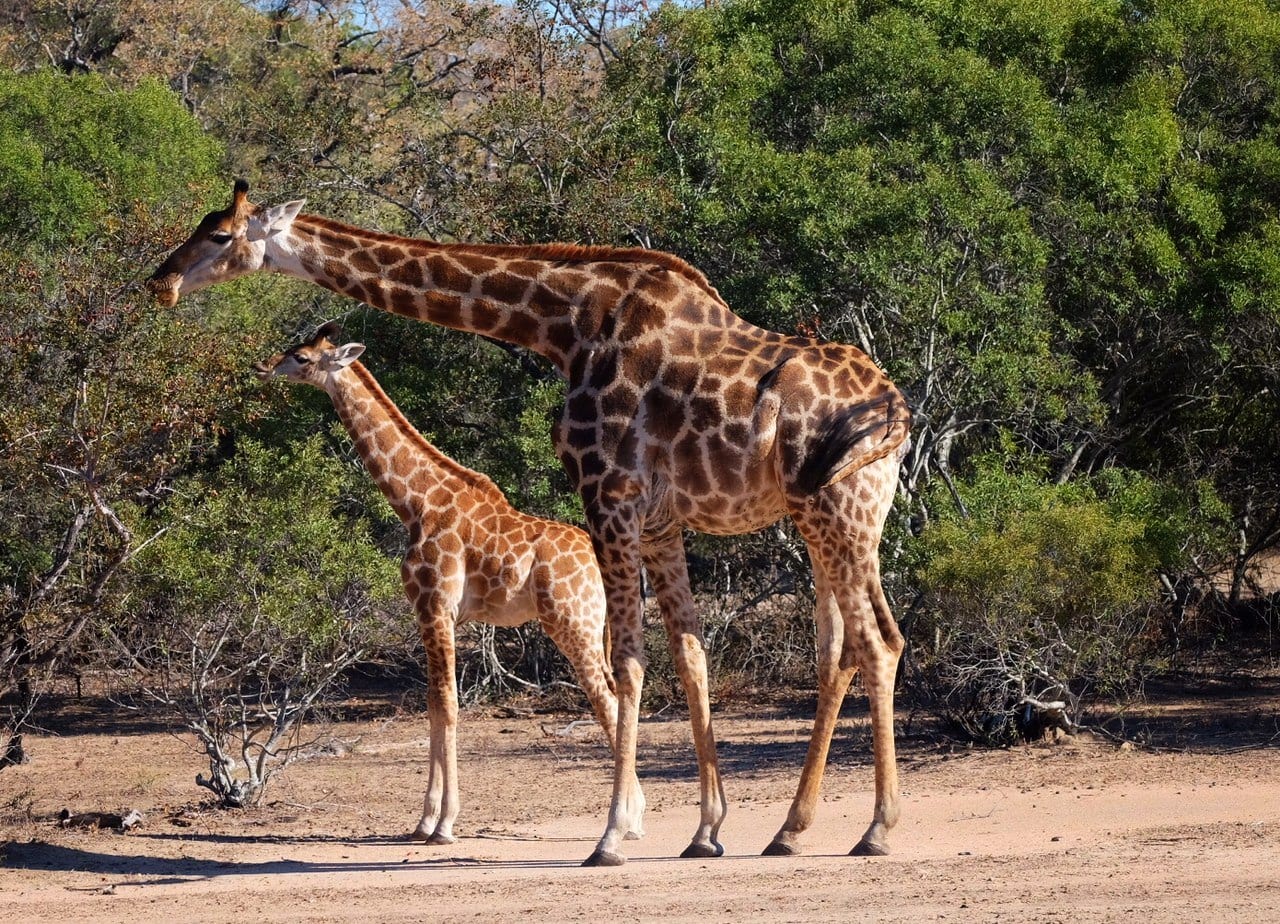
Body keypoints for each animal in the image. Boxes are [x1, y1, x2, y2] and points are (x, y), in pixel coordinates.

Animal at [256, 322, 645, 844]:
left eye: (300, 357)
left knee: (606, 696)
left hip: (571, 622)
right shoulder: (438, 614)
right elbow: (433, 704)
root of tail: (598, 562)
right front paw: (424, 820)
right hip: (591, 623)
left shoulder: (434, 605)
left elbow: (448, 702)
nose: (263, 367)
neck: (414, 502)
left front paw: (442, 823)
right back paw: (633, 815)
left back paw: (626, 820)